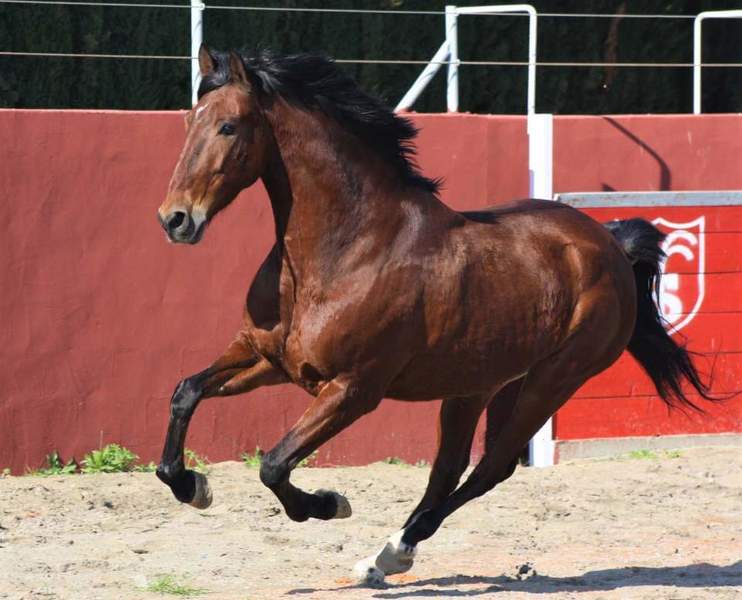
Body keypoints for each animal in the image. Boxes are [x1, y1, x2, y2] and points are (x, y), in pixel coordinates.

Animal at [155, 45, 714, 585]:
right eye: (188, 121)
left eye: (229, 126)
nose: (175, 219)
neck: (346, 249)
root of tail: (610, 244)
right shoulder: (268, 360)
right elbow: (186, 392)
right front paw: (192, 486)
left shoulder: (353, 389)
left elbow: (273, 465)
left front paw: (331, 504)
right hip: (479, 385)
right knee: (450, 469)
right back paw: (383, 559)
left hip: (552, 381)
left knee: (490, 468)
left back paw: (393, 552)